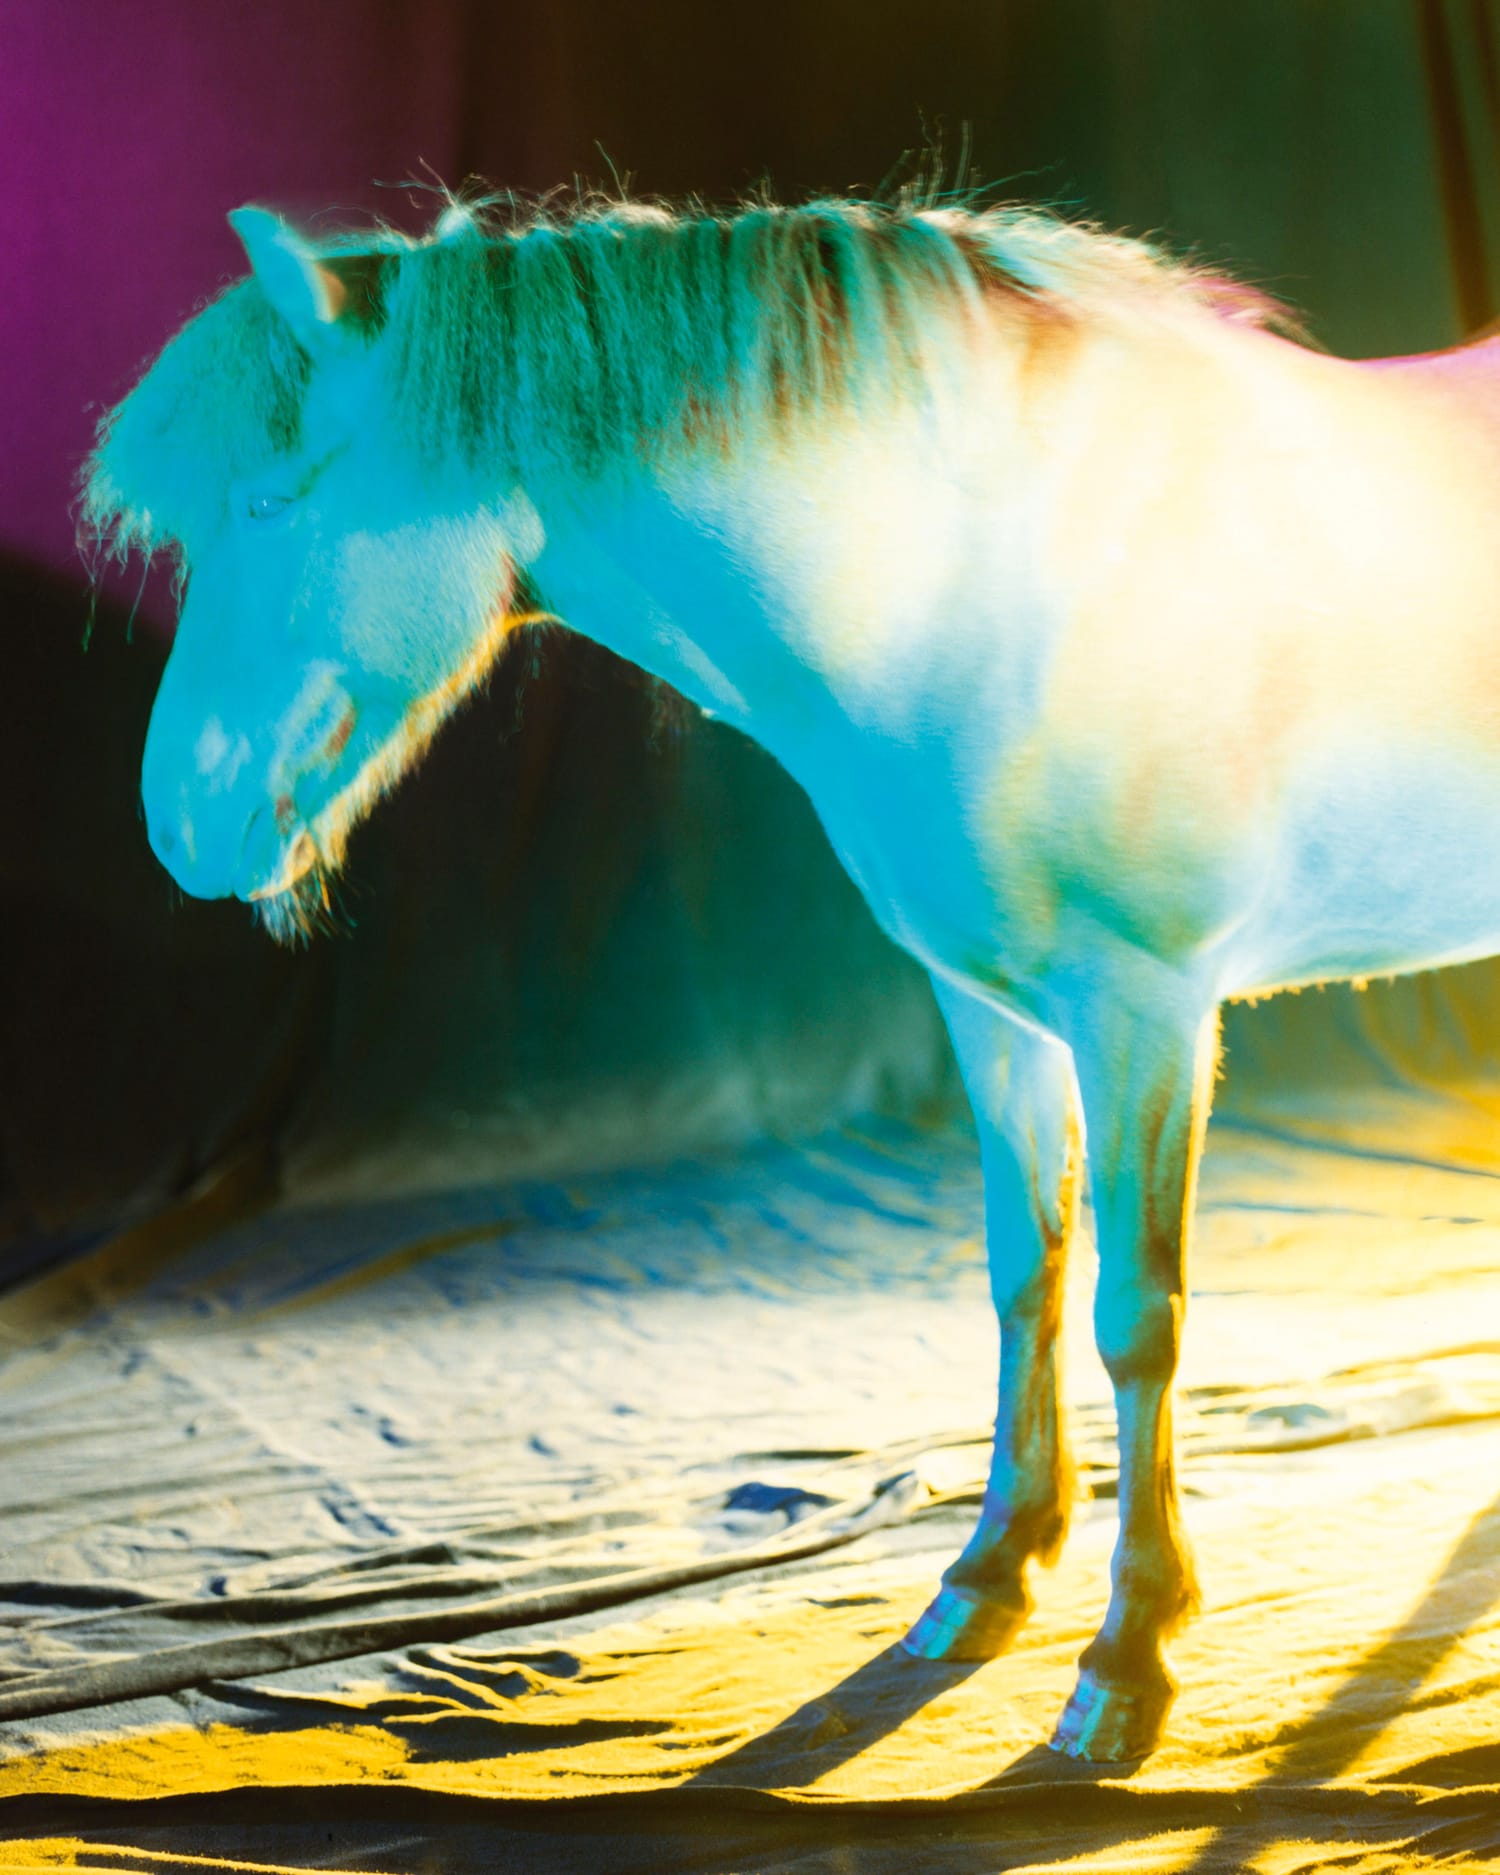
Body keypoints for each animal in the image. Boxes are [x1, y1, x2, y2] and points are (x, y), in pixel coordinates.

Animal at [84, 190, 1500, 1755]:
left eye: (273, 501)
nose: (177, 819)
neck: (999, 582)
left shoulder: (1149, 1013)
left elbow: (1138, 1317)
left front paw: (1128, 1655)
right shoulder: (995, 1012)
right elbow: (1024, 1271)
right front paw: (989, 1573)